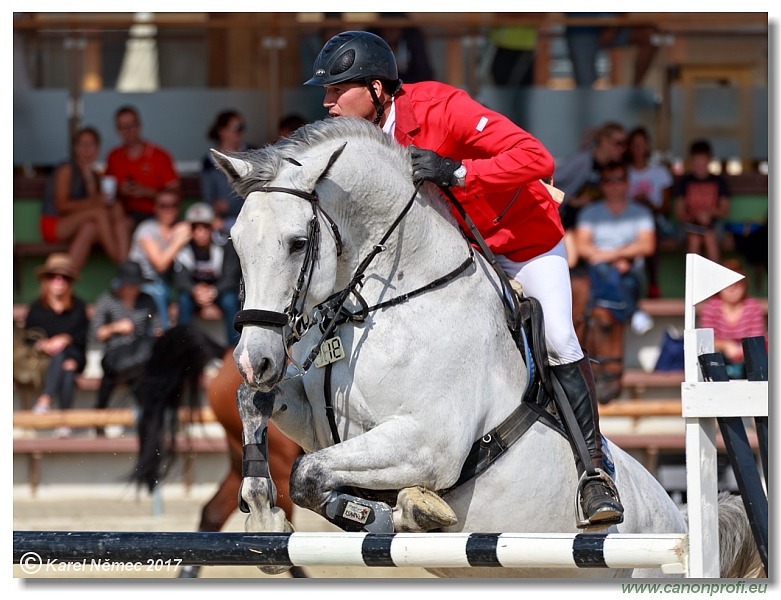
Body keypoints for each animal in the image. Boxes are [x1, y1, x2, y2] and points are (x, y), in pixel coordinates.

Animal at [212, 115, 756, 580]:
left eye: (298, 242)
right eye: (235, 243)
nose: (254, 359)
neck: (381, 306)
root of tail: (680, 522)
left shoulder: (430, 443)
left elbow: (309, 474)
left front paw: (400, 511)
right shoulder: (318, 421)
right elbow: (257, 406)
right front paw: (263, 514)